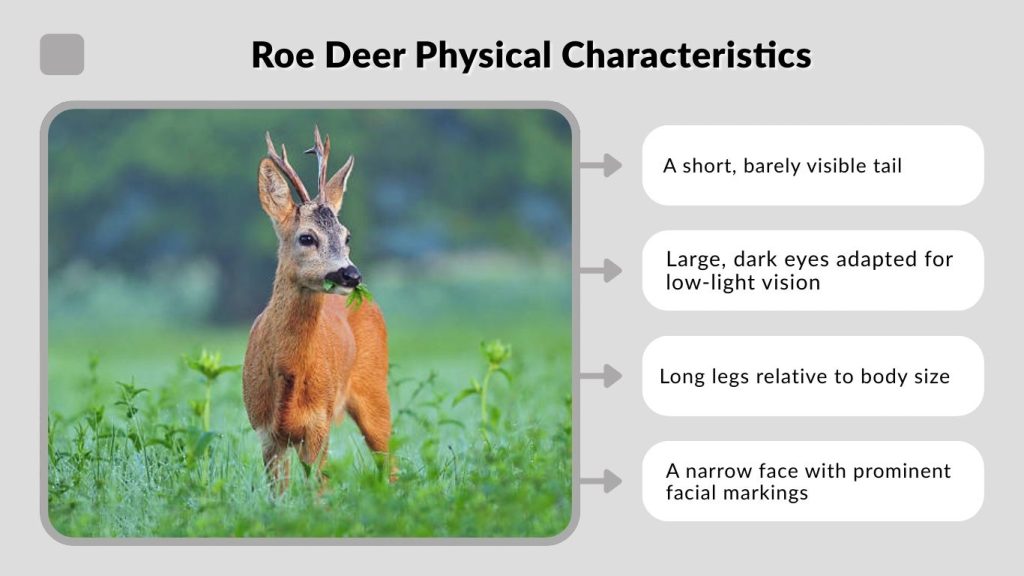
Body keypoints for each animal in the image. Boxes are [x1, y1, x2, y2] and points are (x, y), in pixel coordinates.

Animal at [243, 126, 392, 491]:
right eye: (307, 238)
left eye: (347, 235)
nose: (351, 275)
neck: (289, 376)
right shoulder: (265, 433)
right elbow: (278, 495)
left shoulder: (319, 425)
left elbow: (318, 492)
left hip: (375, 390)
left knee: (391, 460)